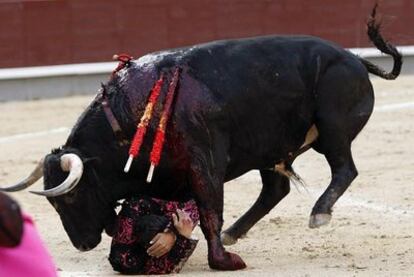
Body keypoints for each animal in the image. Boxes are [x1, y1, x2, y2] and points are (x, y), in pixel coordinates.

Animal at [0, 11, 402, 268]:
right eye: (55, 204)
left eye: (71, 196)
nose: (83, 244)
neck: (129, 117)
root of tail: (354, 59)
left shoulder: (204, 159)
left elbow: (209, 210)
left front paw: (222, 262)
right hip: (269, 147)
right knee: (275, 189)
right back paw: (236, 232)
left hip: (332, 129)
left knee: (344, 169)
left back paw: (318, 214)